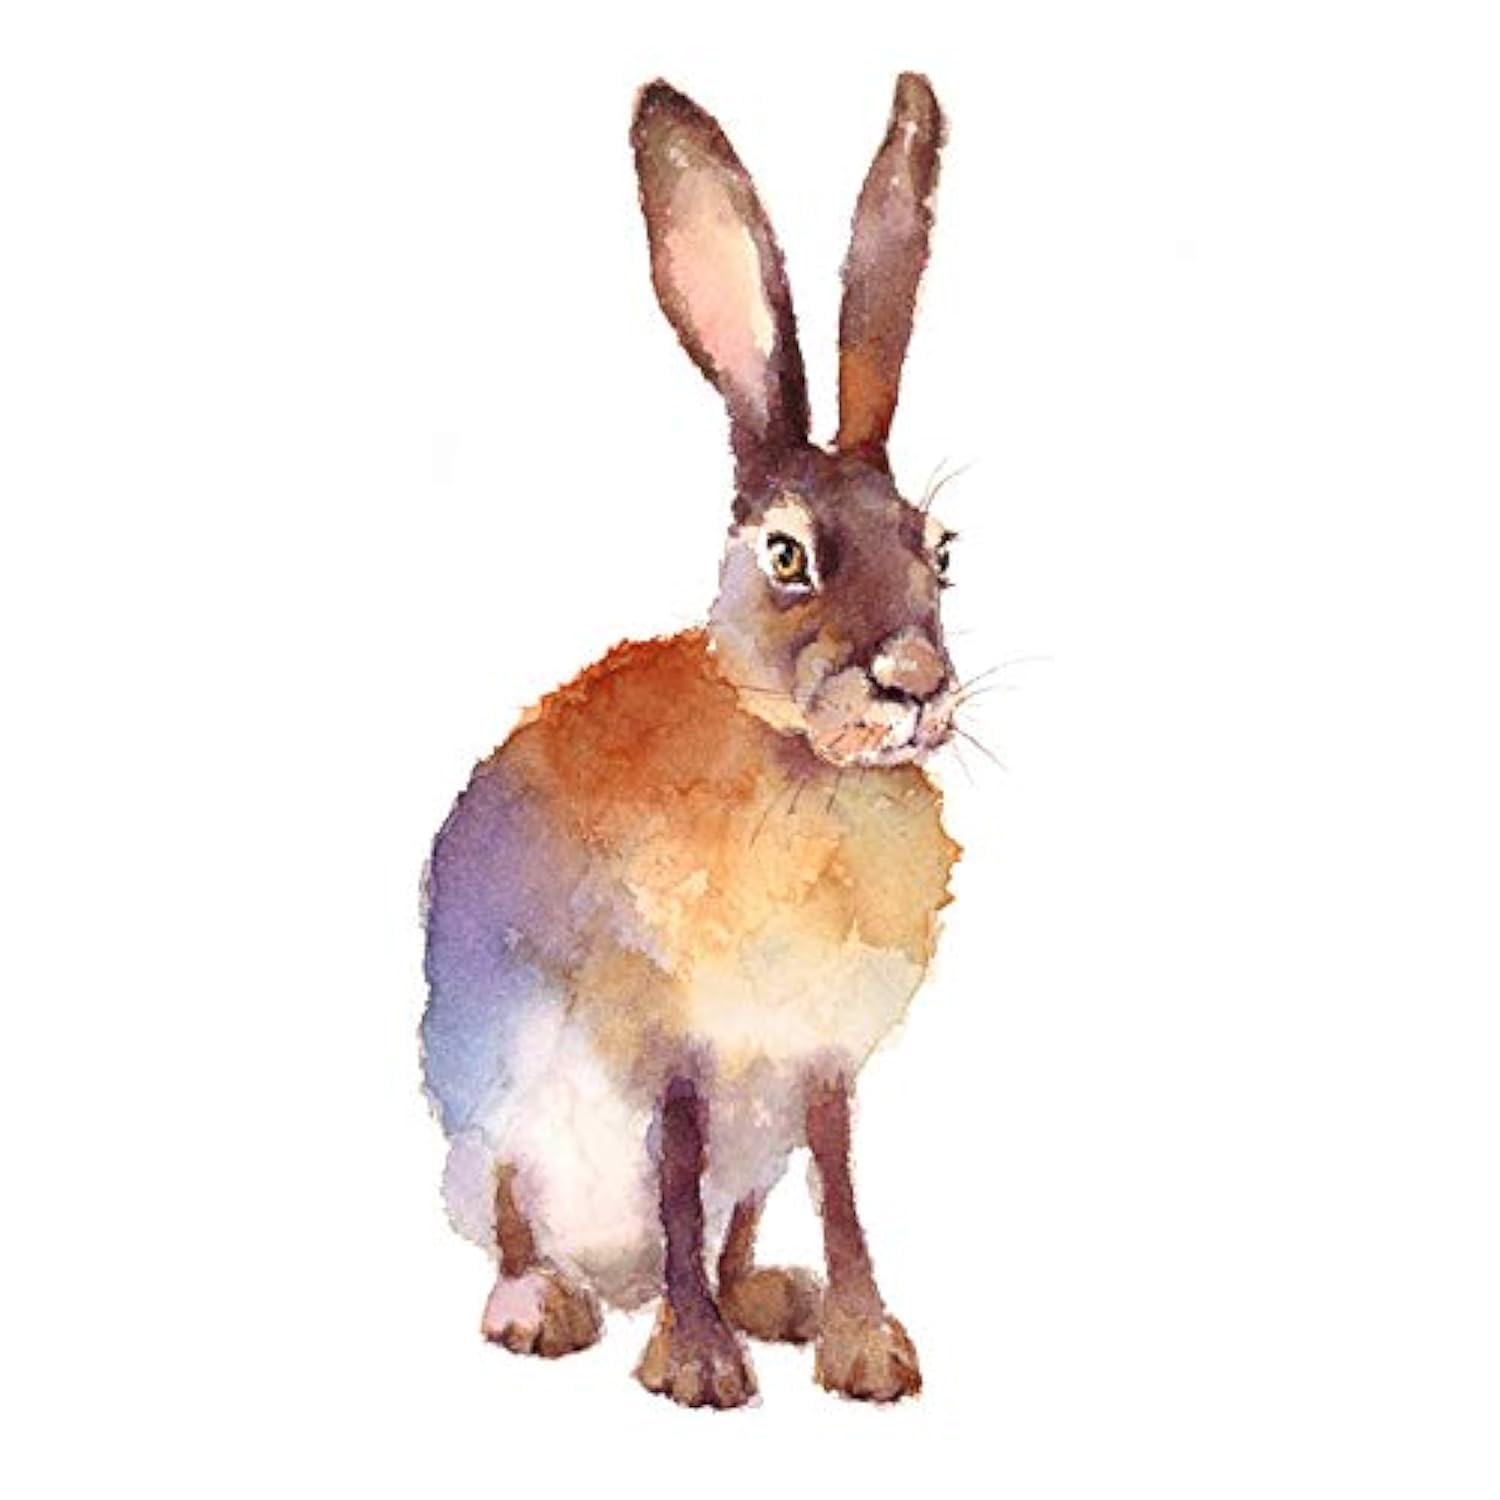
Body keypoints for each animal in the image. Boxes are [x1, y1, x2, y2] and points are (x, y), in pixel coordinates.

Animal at [422, 73, 963, 1408]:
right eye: (786, 555)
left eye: (941, 553)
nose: (917, 686)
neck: (806, 768)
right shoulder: (670, 1047)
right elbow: (673, 1172)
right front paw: (700, 1368)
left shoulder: (817, 1061)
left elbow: (840, 1179)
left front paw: (866, 1347)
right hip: (494, 1109)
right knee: (518, 1215)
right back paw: (544, 1307)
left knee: (742, 1217)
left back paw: (769, 1296)